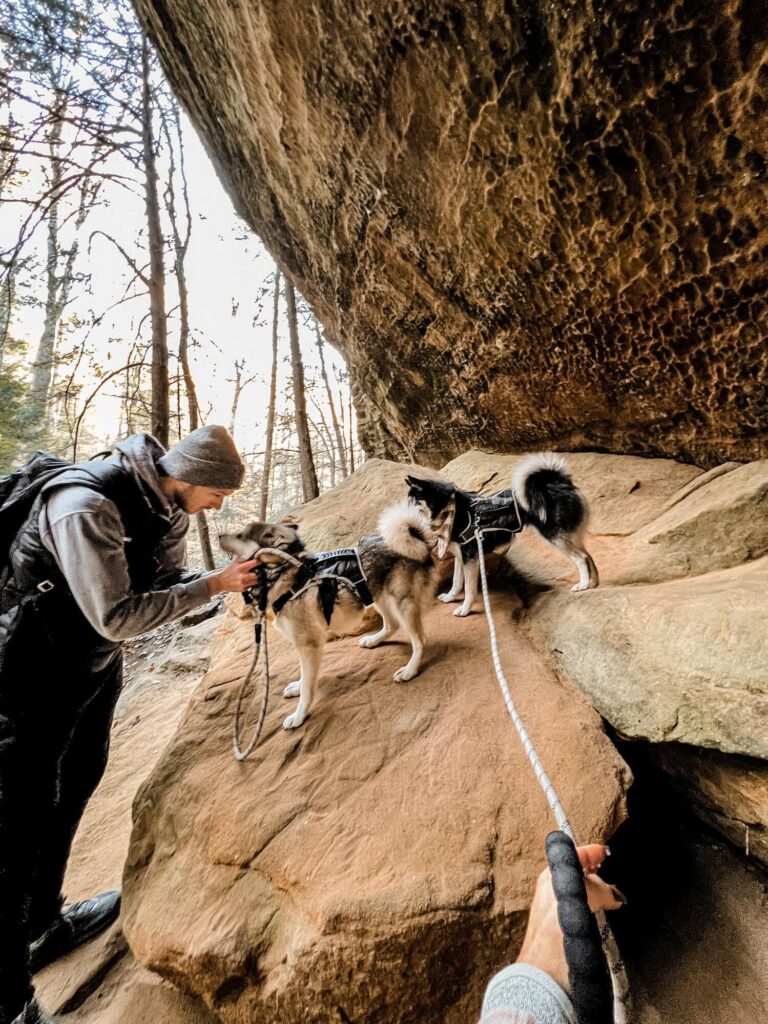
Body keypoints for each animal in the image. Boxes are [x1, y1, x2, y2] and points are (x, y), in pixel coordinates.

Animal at [222, 501, 438, 729]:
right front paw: (297, 688)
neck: (285, 575)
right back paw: (373, 640)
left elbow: (308, 688)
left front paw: (298, 716)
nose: (218, 536)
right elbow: (305, 677)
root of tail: (418, 538)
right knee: (392, 625)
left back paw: (409, 670)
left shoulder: (308, 645)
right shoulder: (306, 647)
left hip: (401, 602)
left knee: (419, 640)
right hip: (378, 595)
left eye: (240, 535)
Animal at [405, 454, 598, 614]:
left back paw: (583, 584)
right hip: (568, 536)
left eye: (413, 501)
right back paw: (592, 584)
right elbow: (456, 582)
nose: (402, 512)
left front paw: (465, 609)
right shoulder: (462, 556)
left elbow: (469, 588)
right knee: (589, 556)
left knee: (581, 558)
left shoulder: (470, 557)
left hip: (554, 536)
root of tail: (558, 482)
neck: (451, 510)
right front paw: (450, 597)